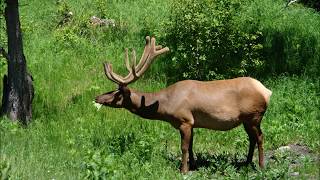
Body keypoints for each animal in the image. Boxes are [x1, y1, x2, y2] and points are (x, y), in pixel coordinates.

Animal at [95, 35, 272, 172]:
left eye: (116, 93)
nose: (97, 97)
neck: (165, 106)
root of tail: (266, 91)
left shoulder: (184, 120)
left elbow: (184, 147)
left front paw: (183, 170)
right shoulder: (192, 122)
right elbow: (192, 146)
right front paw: (193, 165)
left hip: (254, 116)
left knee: (260, 138)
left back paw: (261, 166)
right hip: (246, 120)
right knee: (252, 139)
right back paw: (247, 163)